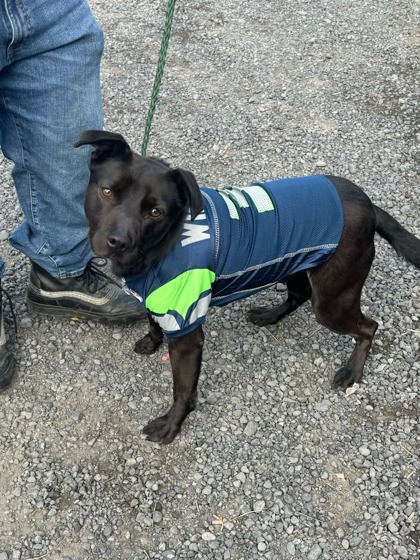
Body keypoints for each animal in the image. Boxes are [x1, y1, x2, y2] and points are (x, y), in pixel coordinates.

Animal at [75, 129, 420, 444]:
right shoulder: (159, 300)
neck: (165, 242)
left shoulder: (188, 334)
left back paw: (352, 371)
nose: (118, 242)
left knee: (368, 327)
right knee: (300, 293)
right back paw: (269, 316)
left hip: (331, 301)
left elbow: (183, 391)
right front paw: (151, 341)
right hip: (290, 264)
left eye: (155, 212)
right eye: (107, 192)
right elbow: (152, 321)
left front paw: (171, 426)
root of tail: (369, 204)